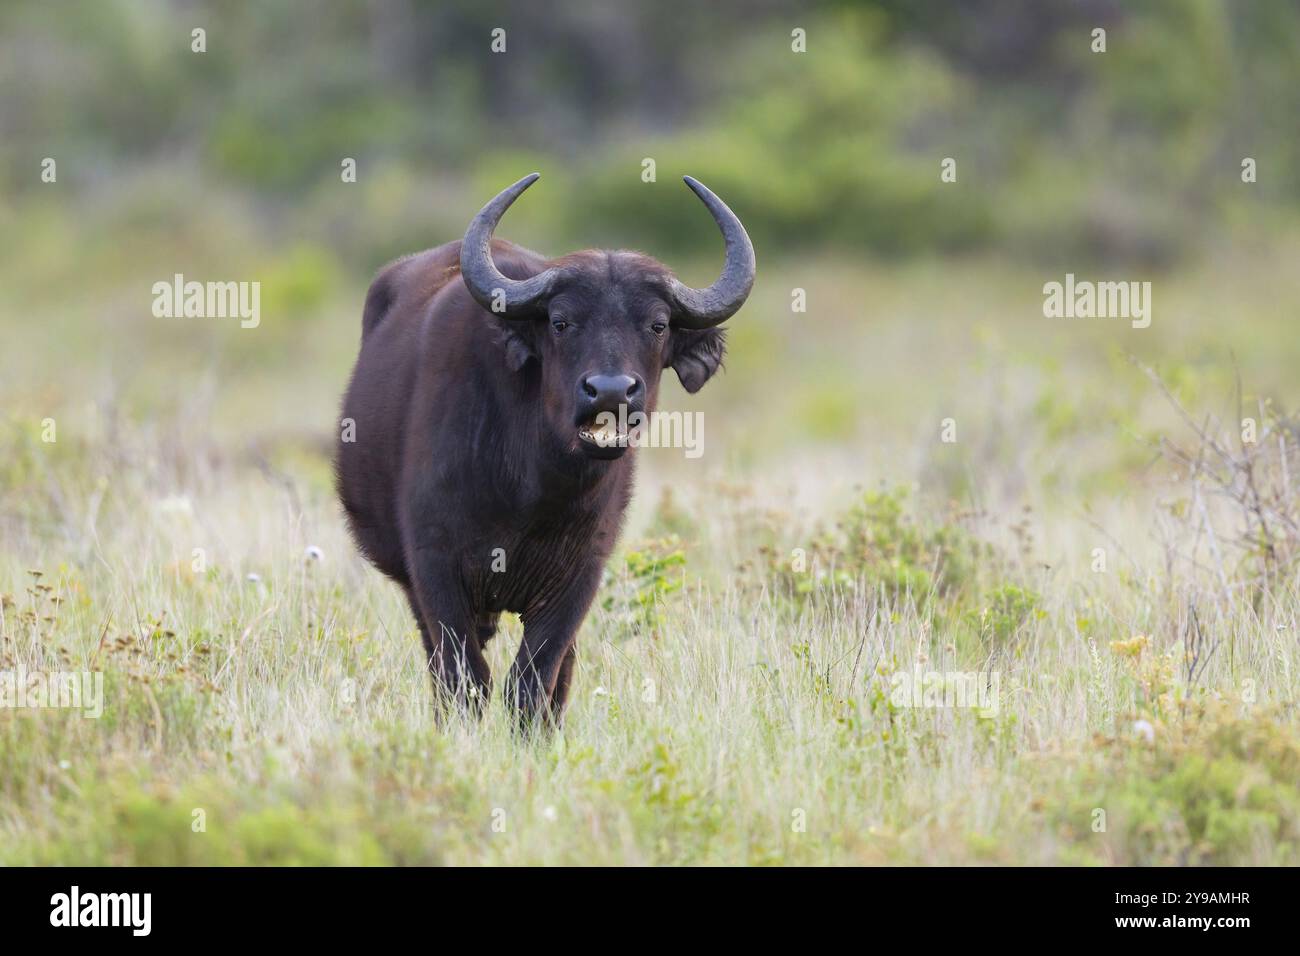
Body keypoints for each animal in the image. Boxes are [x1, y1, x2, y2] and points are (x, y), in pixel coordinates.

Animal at [335, 174, 759, 723]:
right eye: (560, 321)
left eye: (658, 324)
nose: (610, 391)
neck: (533, 489)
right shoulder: (434, 568)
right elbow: (465, 678)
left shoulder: (578, 579)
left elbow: (535, 679)